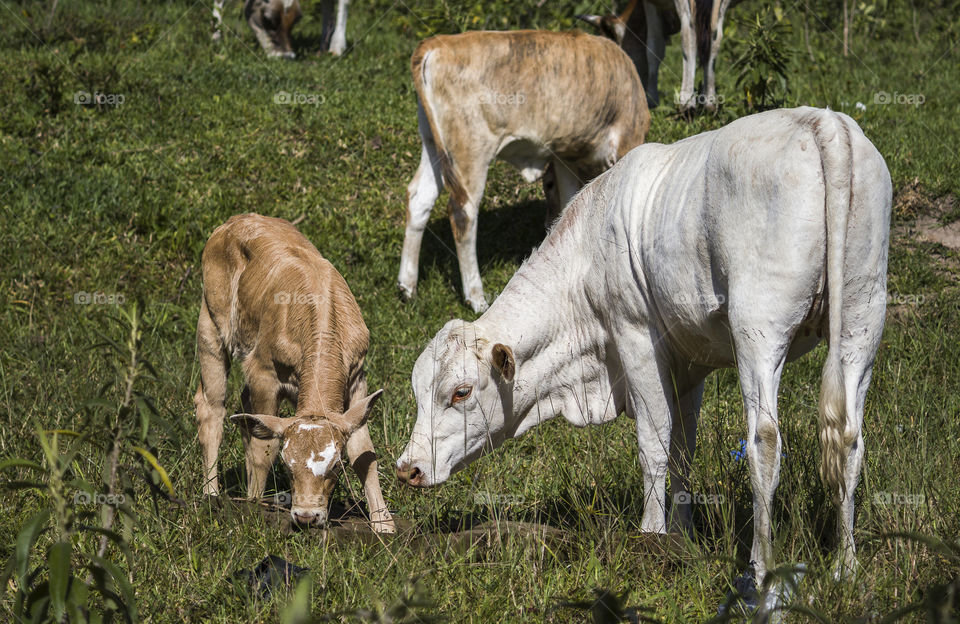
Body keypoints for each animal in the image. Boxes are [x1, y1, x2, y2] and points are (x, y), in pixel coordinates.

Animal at [195, 211, 394, 532]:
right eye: (288, 467)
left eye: (335, 466)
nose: (306, 516)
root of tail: (237, 220)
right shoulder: (264, 373)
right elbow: (264, 449)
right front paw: (254, 506)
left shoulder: (357, 378)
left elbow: (364, 451)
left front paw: (382, 522)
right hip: (210, 323)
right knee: (212, 407)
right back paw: (211, 494)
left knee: (245, 411)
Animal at [396, 107, 892, 600]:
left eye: (460, 392)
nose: (407, 469)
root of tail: (822, 122)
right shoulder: (690, 363)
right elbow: (683, 448)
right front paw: (682, 537)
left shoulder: (634, 336)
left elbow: (653, 445)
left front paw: (651, 538)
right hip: (862, 317)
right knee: (849, 436)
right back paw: (845, 565)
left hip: (759, 328)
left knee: (765, 441)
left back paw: (760, 569)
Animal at [398, 29, 652, 312]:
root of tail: (437, 43)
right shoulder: (626, 140)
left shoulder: (563, 155)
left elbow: (568, 204)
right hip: (470, 151)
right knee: (463, 213)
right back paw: (476, 297)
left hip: (433, 144)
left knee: (419, 199)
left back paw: (407, 288)